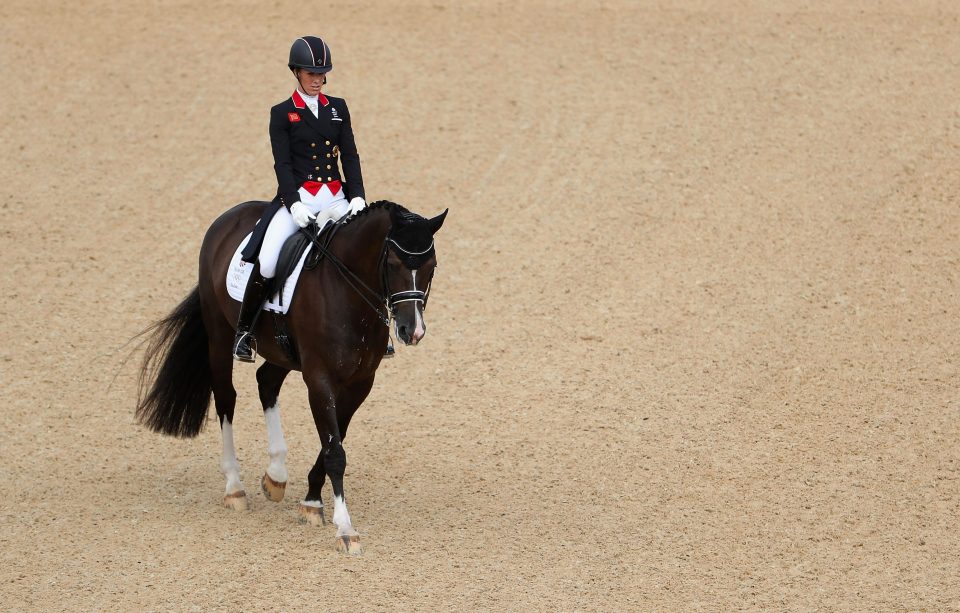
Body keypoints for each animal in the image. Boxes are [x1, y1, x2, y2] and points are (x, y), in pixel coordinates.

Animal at [135, 202, 446, 556]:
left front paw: (311, 502)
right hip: (219, 333)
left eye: (431, 266)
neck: (347, 291)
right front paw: (345, 528)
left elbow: (334, 442)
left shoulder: (360, 382)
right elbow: (335, 452)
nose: (413, 330)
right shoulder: (319, 378)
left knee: (266, 382)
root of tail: (230, 215)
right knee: (226, 397)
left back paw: (276, 475)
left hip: (281, 351)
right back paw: (234, 486)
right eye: (393, 264)